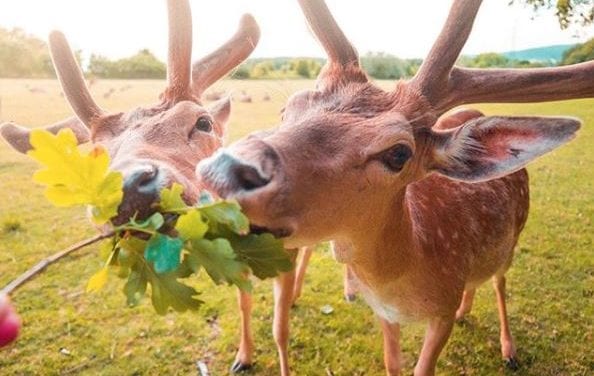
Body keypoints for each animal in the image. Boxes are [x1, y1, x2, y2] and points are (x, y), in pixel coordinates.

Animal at [199, 0, 592, 376]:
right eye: (288, 108)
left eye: (398, 153)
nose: (225, 169)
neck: (406, 277)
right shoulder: (384, 312)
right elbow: (392, 364)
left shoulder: (442, 311)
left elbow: (423, 367)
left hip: (514, 235)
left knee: (500, 281)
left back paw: (509, 349)